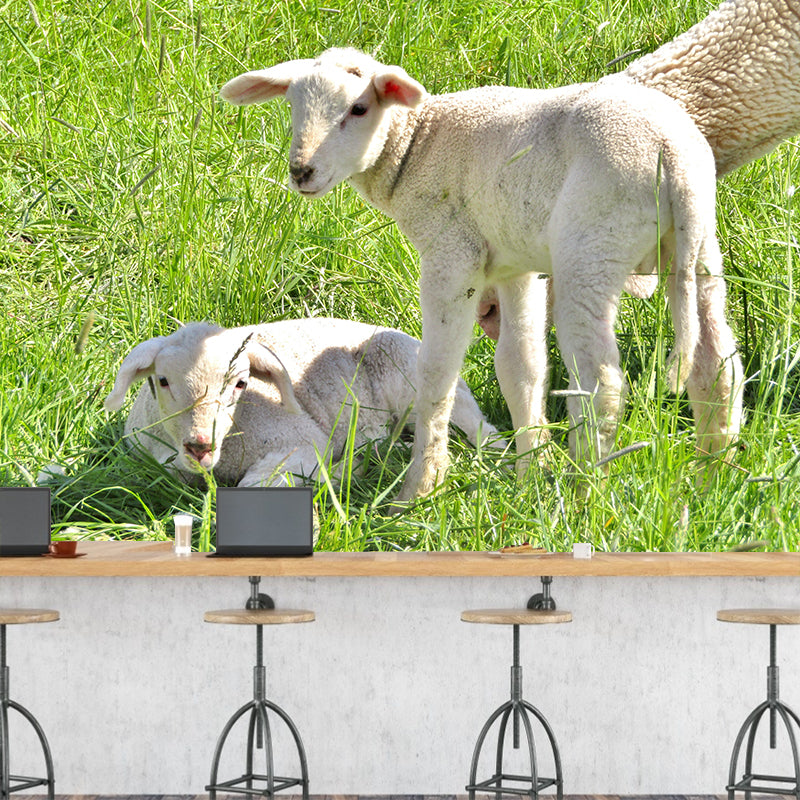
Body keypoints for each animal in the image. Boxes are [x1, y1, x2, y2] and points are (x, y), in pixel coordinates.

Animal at [103, 318, 500, 487]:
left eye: (241, 383)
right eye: (162, 381)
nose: (200, 444)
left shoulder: (301, 440)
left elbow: (258, 485)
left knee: (477, 428)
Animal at [220, 49, 744, 505]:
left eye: (359, 107)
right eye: (293, 106)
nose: (301, 172)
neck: (415, 146)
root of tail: (674, 158)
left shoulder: (452, 254)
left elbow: (436, 372)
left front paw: (421, 488)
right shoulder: (515, 265)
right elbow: (520, 367)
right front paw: (530, 471)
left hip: (593, 244)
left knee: (601, 384)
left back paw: (582, 493)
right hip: (697, 245)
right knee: (716, 362)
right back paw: (711, 476)